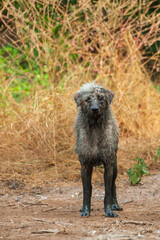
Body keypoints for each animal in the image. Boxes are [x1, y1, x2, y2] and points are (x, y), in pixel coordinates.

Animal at [74, 82, 122, 218]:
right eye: (87, 99)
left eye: (100, 97)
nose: (95, 109)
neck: (95, 126)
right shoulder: (85, 165)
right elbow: (87, 190)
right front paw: (85, 210)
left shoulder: (109, 164)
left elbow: (108, 190)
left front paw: (109, 210)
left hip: (115, 167)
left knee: (113, 185)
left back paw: (115, 204)